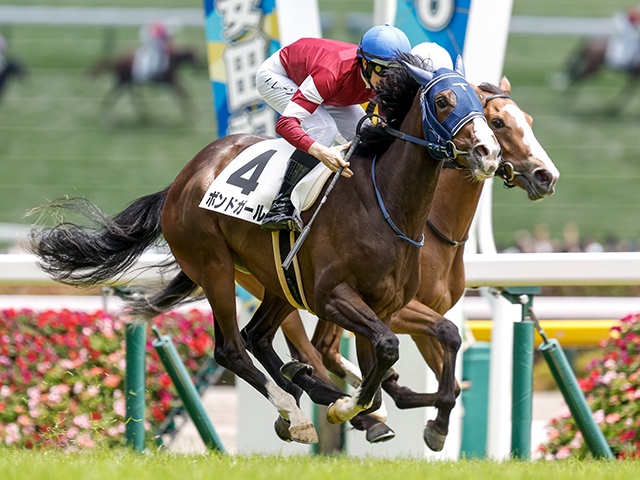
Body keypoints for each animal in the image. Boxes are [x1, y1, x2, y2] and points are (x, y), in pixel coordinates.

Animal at [28, 54, 500, 444]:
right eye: (443, 100)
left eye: (481, 106)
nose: (488, 152)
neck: (386, 205)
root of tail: (183, 178)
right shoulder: (332, 297)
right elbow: (385, 354)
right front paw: (349, 408)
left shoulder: (382, 306)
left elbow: (386, 364)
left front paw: (390, 413)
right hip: (215, 266)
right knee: (232, 348)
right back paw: (297, 410)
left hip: (279, 281)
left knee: (259, 336)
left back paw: (303, 387)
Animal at [236, 75, 560, 450]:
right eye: (498, 122)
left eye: (529, 120)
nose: (546, 176)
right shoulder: (403, 310)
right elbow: (443, 338)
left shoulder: (422, 310)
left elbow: (448, 367)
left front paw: (434, 420)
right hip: (285, 286)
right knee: (307, 347)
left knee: (312, 345)